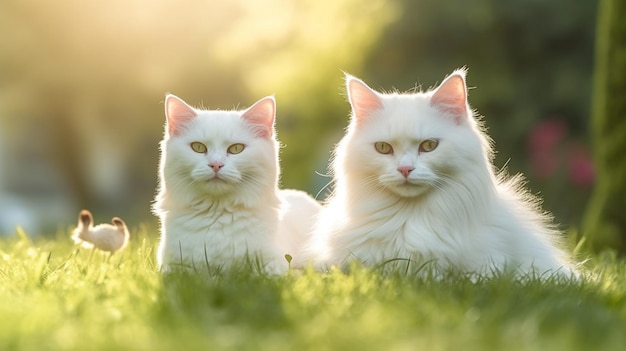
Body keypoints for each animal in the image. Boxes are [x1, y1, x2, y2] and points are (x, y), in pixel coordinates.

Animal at [151, 94, 316, 276]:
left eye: (236, 148)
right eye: (198, 147)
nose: (216, 165)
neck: (217, 214)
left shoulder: (272, 266)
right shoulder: (173, 266)